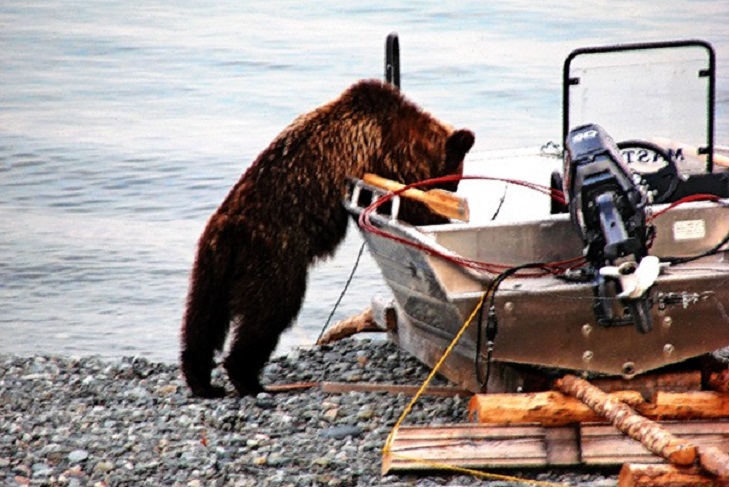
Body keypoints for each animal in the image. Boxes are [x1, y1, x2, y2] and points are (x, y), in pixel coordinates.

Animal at [181, 79, 474, 396]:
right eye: (454, 178)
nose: (454, 191)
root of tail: (226, 234)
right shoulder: (383, 153)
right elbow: (403, 201)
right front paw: (437, 218)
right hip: (272, 256)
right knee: (270, 310)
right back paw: (248, 378)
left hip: (210, 268)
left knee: (203, 321)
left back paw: (202, 381)